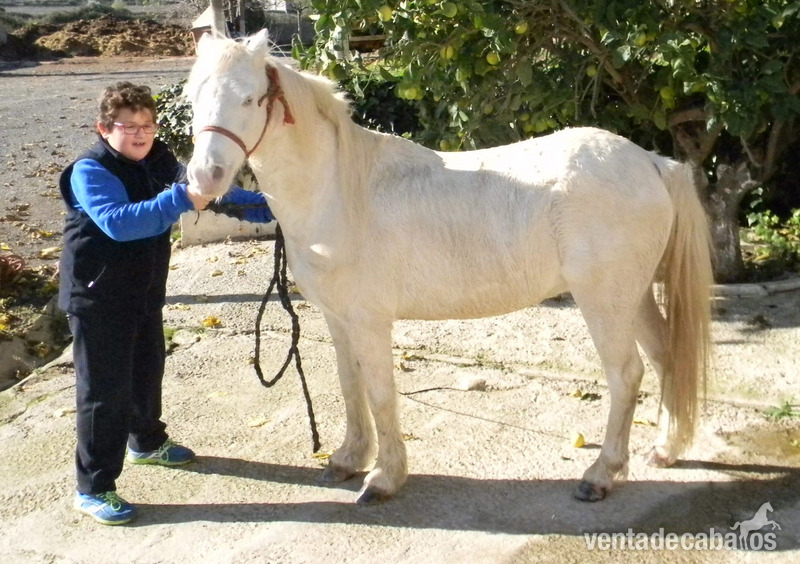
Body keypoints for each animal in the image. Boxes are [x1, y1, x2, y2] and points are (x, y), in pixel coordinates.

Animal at [184, 26, 713, 504]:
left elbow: (380, 393)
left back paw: (600, 475)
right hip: (633, 296)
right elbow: (350, 386)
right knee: (666, 357)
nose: (205, 178)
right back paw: (664, 450)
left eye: (250, 99)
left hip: (605, 302)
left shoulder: (370, 322)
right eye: (193, 100)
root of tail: (650, 162)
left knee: (626, 374)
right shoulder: (338, 319)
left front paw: (384, 478)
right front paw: (348, 459)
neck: (341, 192)